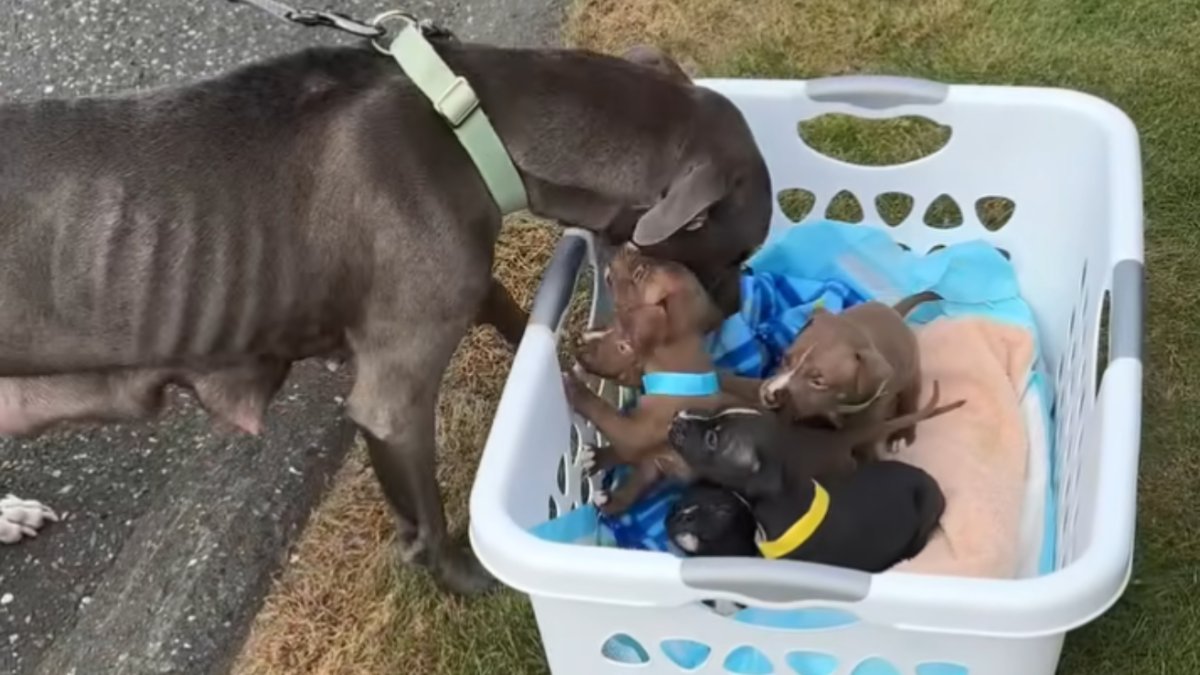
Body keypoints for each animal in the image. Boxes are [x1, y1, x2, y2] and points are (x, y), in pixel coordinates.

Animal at [758, 289, 945, 461]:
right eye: (785, 359)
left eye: (818, 381)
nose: (771, 394)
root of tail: (895, 312)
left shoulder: (865, 433)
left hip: (911, 373)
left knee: (910, 399)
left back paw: (902, 434)